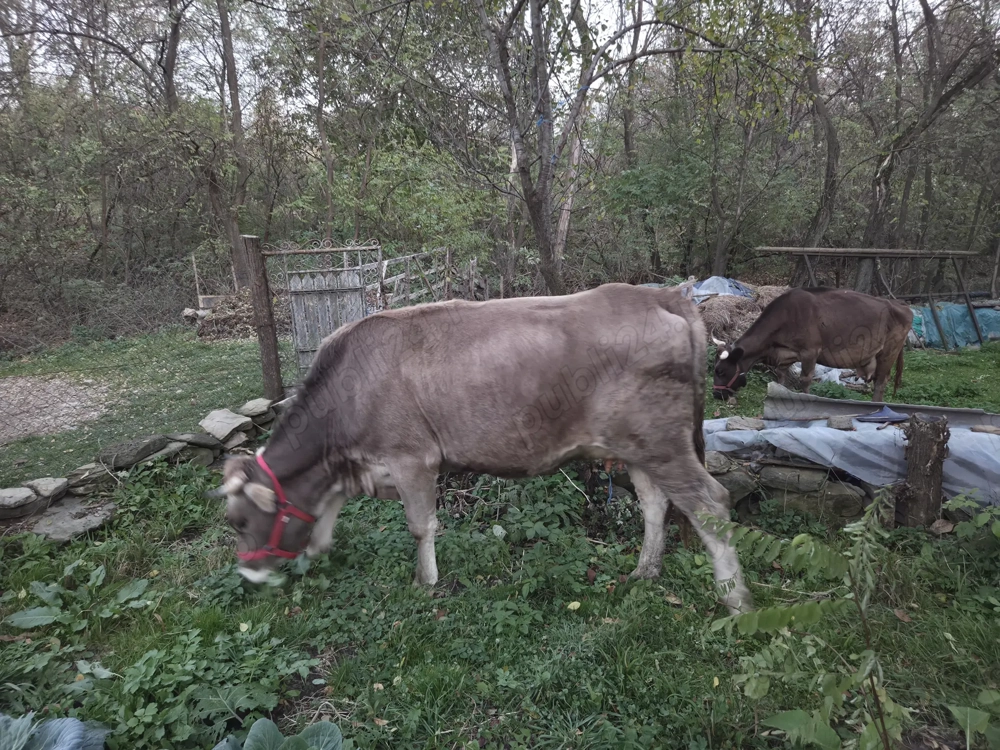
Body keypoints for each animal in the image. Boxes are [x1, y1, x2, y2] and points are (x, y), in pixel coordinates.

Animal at [215, 282, 752, 615]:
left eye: (239, 522)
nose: (249, 576)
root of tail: (662, 295)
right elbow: (328, 511)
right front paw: (317, 549)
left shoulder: (412, 457)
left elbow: (420, 526)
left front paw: (425, 582)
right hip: (637, 444)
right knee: (656, 503)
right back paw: (645, 571)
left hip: (663, 441)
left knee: (709, 503)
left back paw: (735, 600)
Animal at [711, 287, 913, 403]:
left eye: (721, 371)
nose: (716, 394)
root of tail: (901, 304)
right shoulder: (785, 355)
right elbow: (780, 377)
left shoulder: (810, 352)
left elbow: (805, 380)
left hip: (888, 352)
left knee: (880, 382)